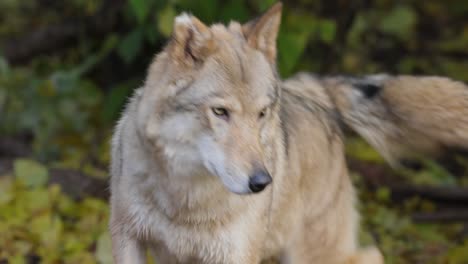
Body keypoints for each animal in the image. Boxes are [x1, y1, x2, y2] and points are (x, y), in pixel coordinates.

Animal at [110, 3, 384, 262]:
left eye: (261, 113)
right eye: (220, 111)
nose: (261, 183)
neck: (187, 201)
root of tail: (316, 96)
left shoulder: (235, 255)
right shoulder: (126, 236)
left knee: (373, 255)